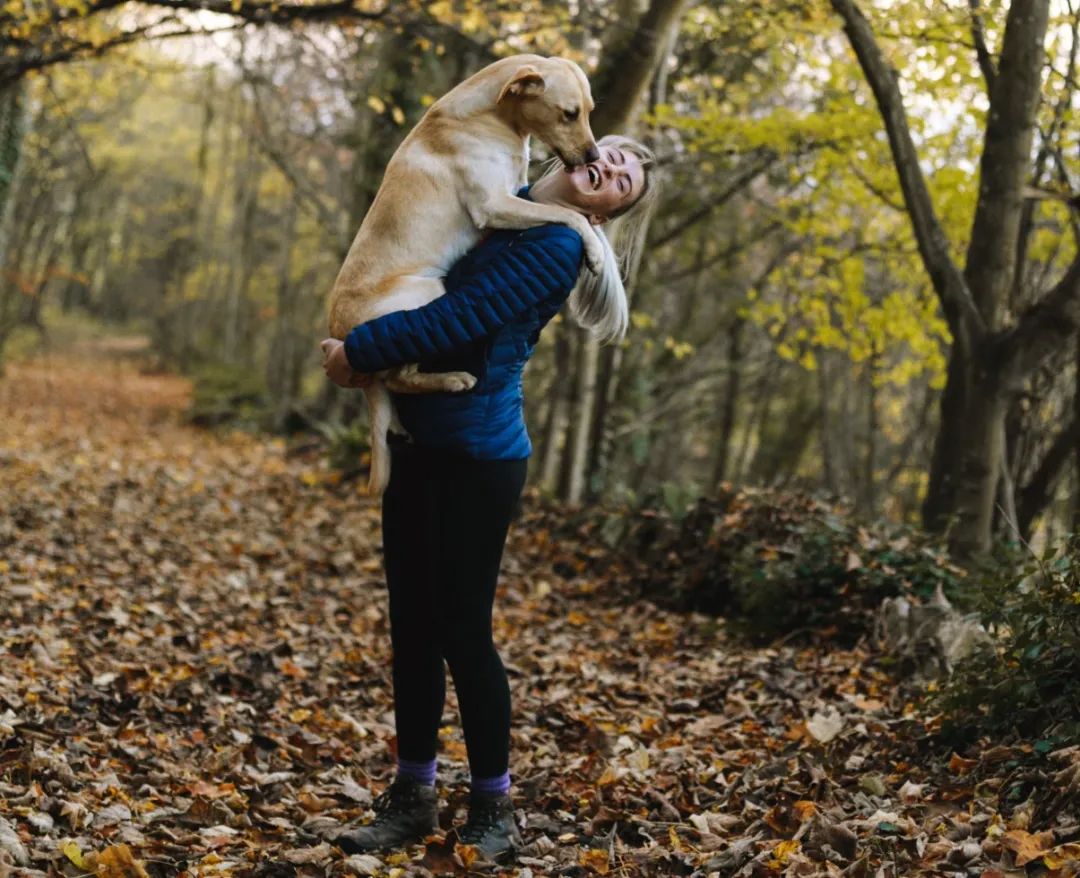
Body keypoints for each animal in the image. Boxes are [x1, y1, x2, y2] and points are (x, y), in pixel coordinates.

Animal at [324, 53, 609, 492]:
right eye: (569, 114)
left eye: (589, 112)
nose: (594, 158)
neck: (492, 116)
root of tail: (340, 332)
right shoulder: (494, 204)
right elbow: (567, 215)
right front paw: (593, 249)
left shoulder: (512, 197)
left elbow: (558, 210)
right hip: (427, 293)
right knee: (401, 377)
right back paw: (452, 379)